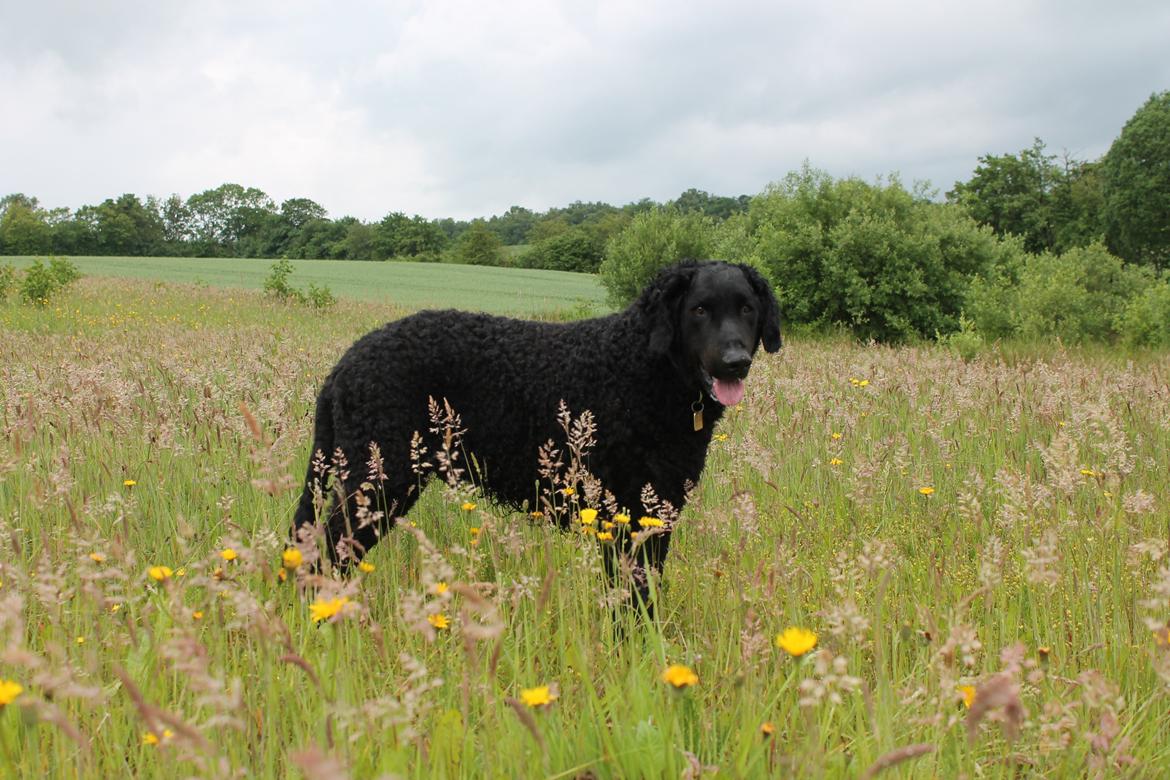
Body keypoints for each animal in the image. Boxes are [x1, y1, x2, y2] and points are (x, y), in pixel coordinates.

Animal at [294, 259, 776, 608]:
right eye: (699, 309)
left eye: (746, 308)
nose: (735, 362)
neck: (644, 368)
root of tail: (345, 364)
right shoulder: (622, 512)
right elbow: (631, 599)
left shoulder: (653, 513)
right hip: (378, 482)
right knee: (326, 553)